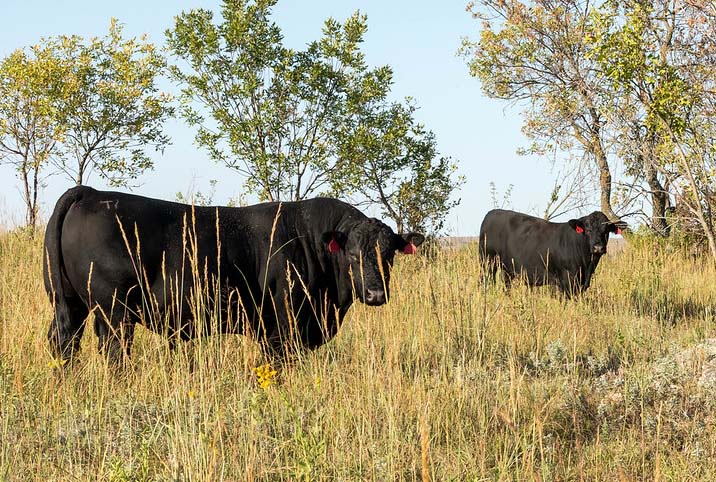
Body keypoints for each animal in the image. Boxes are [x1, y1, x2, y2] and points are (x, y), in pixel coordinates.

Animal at [43, 186, 424, 366]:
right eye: (353, 255)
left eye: (389, 254)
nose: (375, 294)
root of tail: (92, 193)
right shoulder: (283, 325)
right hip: (113, 310)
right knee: (112, 352)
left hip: (71, 305)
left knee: (63, 343)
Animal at [478, 209, 620, 295]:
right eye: (588, 229)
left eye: (606, 230)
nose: (598, 247)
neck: (587, 265)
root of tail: (491, 213)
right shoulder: (566, 280)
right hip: (487, 262)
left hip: (506, 268)